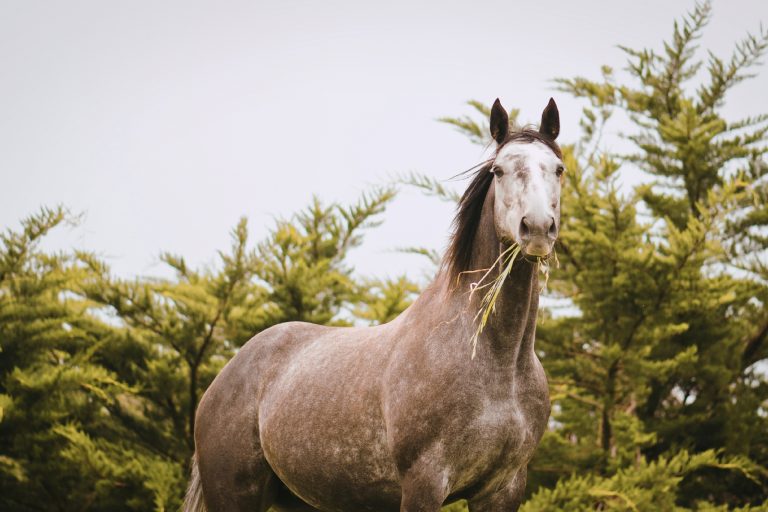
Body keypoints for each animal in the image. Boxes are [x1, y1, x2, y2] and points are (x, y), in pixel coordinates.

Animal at [183, 97, 564, 512]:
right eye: (499, 170)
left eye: (558, 169)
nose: (538, 228)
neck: (496, 361)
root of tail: (223, 379)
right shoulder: (424, 483)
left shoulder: (503, 488)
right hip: (236, 496)